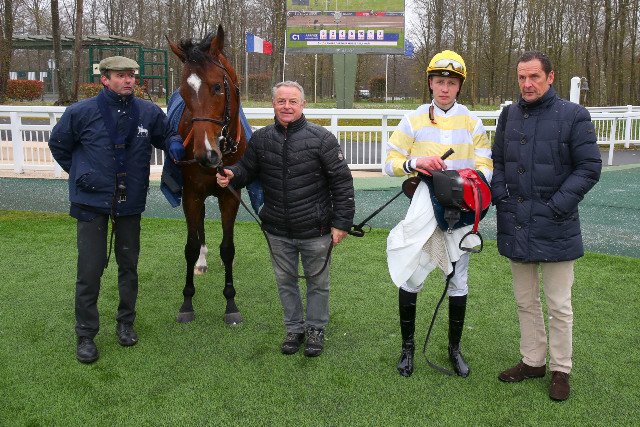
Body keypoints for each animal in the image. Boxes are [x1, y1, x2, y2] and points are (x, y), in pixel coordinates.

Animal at [166, 25, 245, 325]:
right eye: (183, 91)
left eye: (217, 87)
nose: (205, 154)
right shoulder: (191, 193)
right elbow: (189, 245)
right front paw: (187, 302)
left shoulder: (231, 195)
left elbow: (228, 248)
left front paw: (231, 303)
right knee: (198, 225)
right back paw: (201, 261)